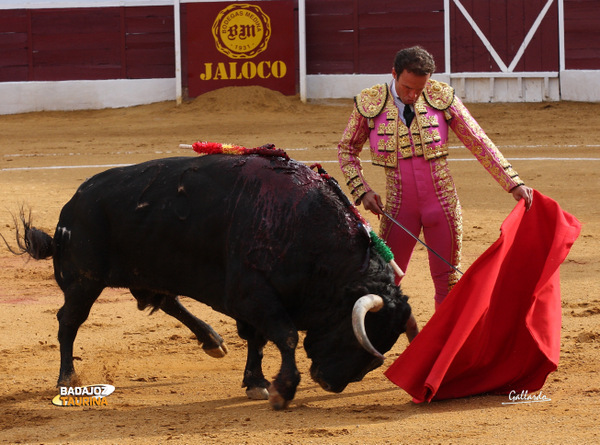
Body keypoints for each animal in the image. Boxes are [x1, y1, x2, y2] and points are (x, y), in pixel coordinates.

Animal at [10, 151, 412, 408]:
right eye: (353, 335)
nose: (331, 383)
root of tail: (71, 206)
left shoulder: (253, 302)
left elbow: (258, 339)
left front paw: (256, 383)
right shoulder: (252, 293)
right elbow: (284, 335)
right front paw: (281, 390)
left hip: (151, 268)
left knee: (165, 300)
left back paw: (212, 340)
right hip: (84, 281)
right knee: (68, 322)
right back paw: (67, 379)